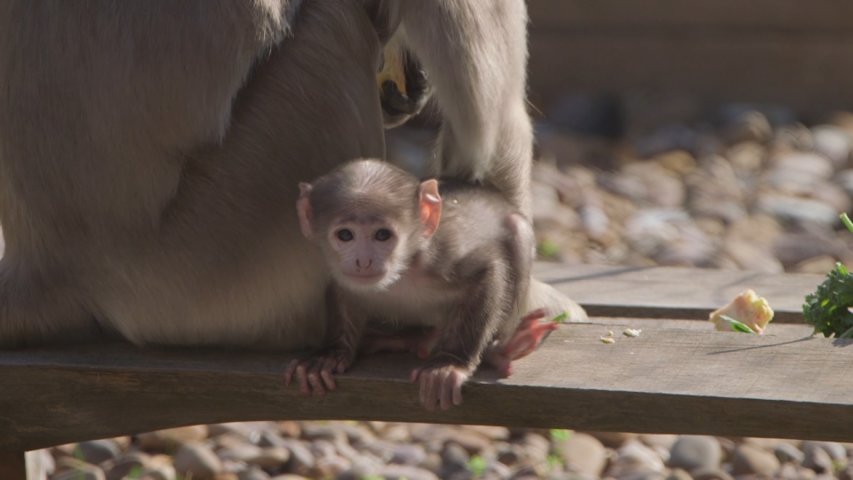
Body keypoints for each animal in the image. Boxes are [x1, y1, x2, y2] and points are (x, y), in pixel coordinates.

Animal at [286, 159, 560, 410]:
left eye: (382, 235)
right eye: (345, 235)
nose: (363, 261)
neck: (401, 272)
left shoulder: (441, 258)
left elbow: (489, 271)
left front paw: (450, 363)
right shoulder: (342, 272)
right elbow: (342, 290)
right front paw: (328, 354)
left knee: (518, 230)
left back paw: (499, 351)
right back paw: (409, 339)